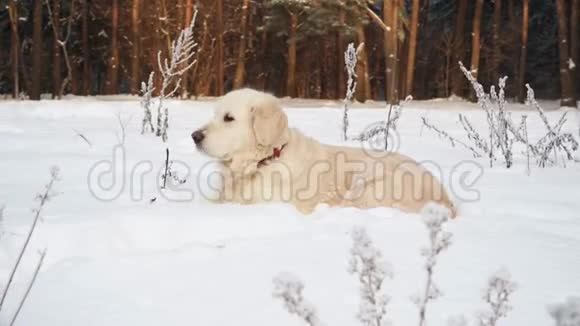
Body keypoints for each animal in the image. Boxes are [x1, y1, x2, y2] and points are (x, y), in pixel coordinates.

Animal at [195, 88, 458, 218]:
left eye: (228, 118)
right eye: (214, 114)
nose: (194, 136)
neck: (263, 160)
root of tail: (445, 199)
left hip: (368, 185)